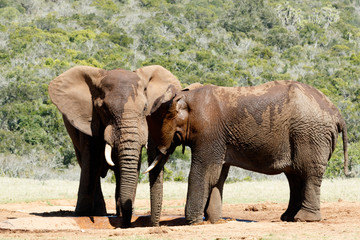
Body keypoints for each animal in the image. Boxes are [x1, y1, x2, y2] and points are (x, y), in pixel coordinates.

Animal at [48, 65, 181, 227]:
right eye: (104, 109)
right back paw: (99, 213)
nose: (126, 223)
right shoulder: (90, 122)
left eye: (145, 108)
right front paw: (81, 215)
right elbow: (91, 162)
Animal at [146, 80, 348, 225]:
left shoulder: (208, 132)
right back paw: (288, 218)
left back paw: (304, 219)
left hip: (310, 134)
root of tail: (337, 113)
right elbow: (218, 175)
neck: (185, 96)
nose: (155, 225)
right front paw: (214, 221)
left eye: (157, 125)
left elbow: (204, 172)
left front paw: (193, 223)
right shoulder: (218, 138)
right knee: (295, 176)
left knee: (308, 173)